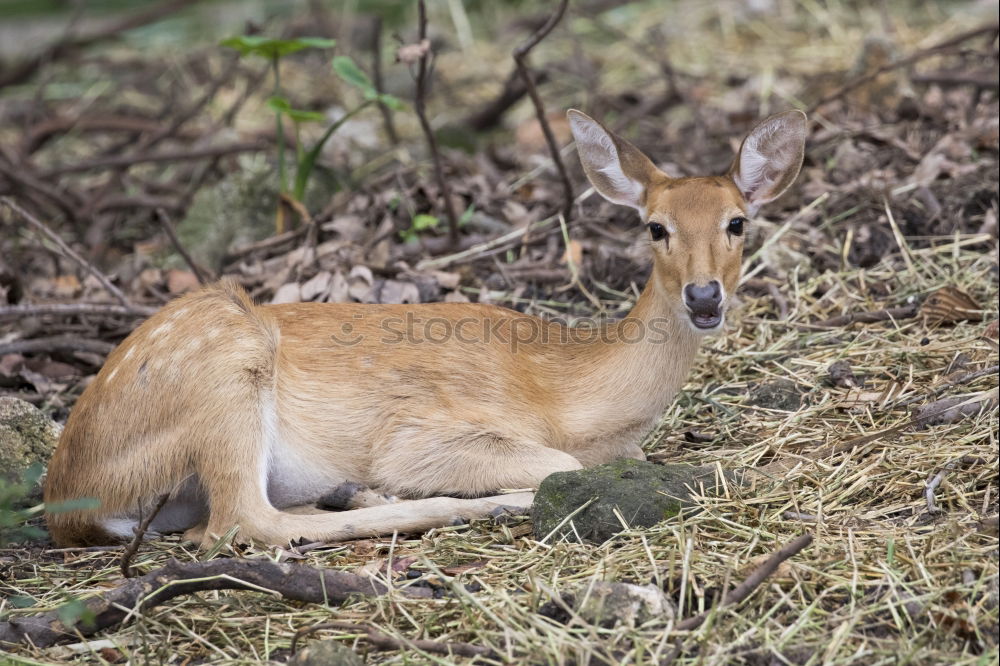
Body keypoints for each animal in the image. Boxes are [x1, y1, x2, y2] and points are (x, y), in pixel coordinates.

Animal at [47, 107, 808, 544]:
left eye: (738, 223)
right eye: (655, 227)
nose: (704, 297)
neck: (565, 396)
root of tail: (67, 496)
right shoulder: (424, 429)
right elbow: (558, 464)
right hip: (226, 369)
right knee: (243, 523)